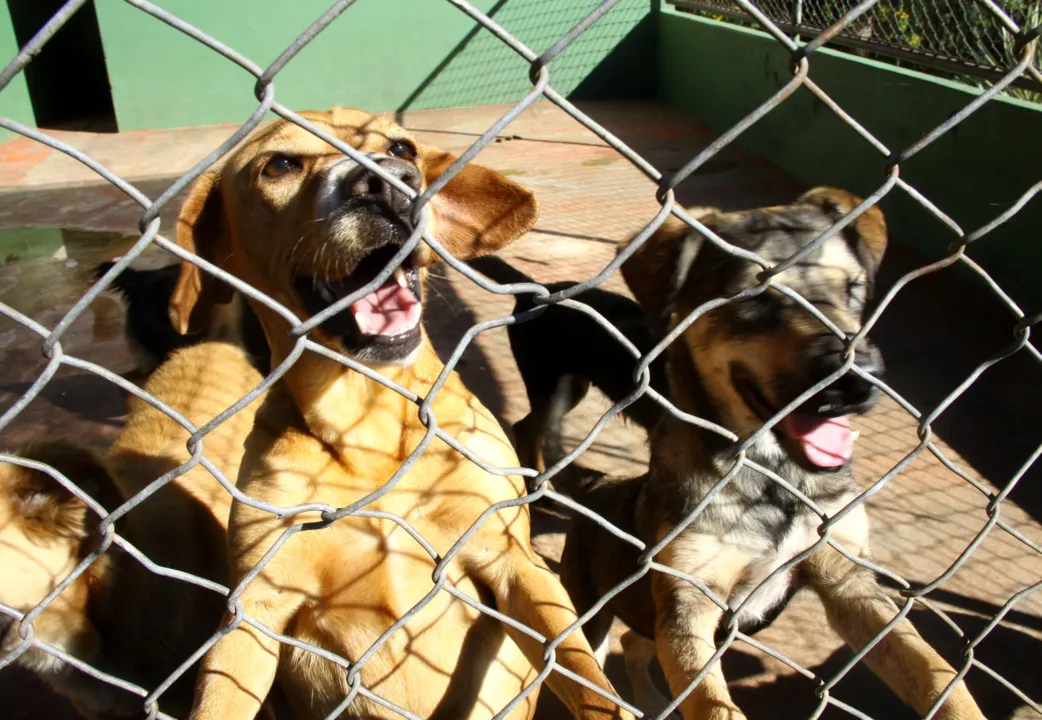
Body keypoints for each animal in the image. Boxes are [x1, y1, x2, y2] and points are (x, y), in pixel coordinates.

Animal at [165, 108, 629, 720]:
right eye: (280, 164)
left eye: (402, 147)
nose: (388, 182)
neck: (370, 431)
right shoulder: (255, 611)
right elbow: (219, 702)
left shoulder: (510, 558)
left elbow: (586, 677)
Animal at [529, 189, 983, 720]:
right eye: (756, 296)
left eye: (854, 289)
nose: (860, 379)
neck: (773, 476)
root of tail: (601, 481)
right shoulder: (689, 604)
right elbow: (713, 704)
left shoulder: (848, 582)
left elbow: (934, 670)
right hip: (592, 606)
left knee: (635, 647)